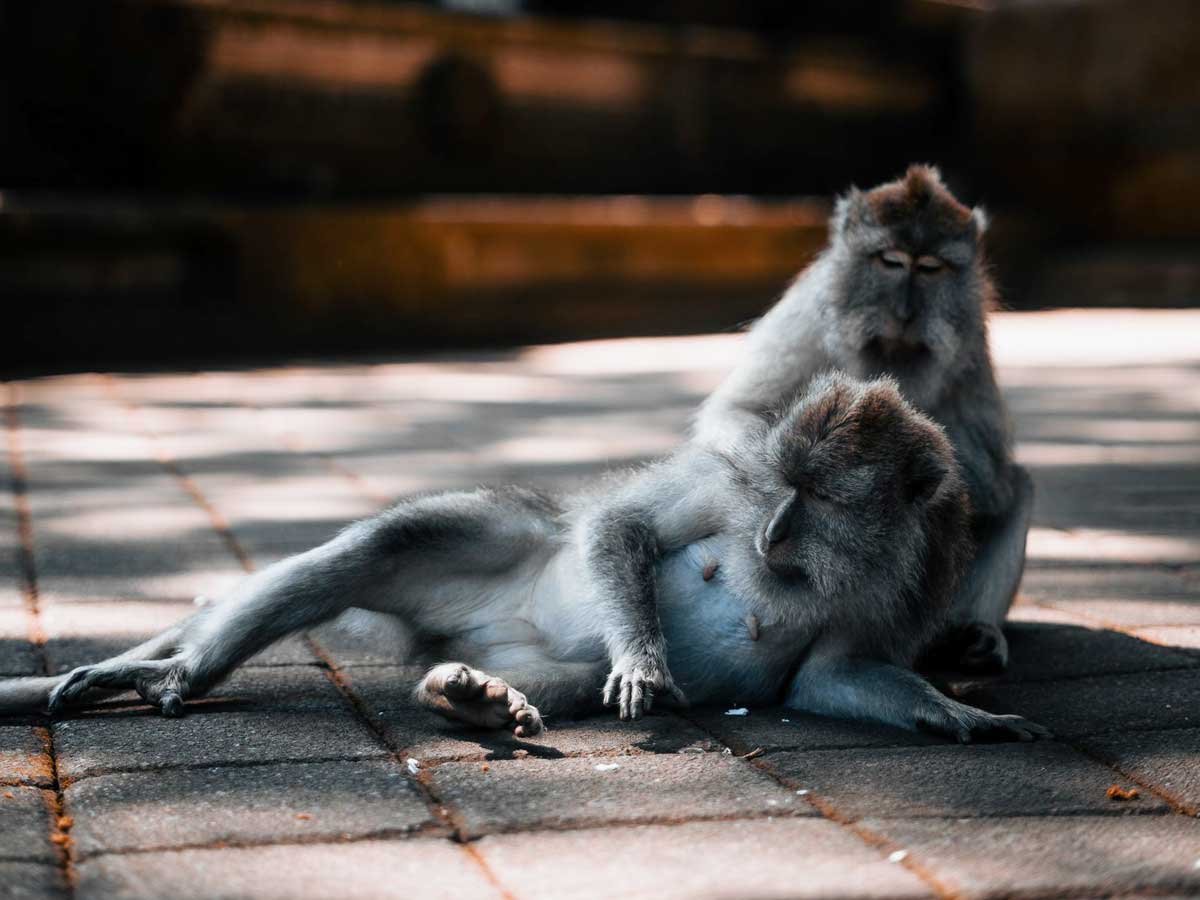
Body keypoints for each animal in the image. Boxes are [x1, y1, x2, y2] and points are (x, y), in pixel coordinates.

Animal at [0, 374, 1048, 743]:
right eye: (781, 489)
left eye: (820, 500)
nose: (772, 535)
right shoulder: (727, 480)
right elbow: (625, 529)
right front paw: (644, 656)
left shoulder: (897, 591)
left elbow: (827, 676)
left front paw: (959, 714)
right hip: (493, 544)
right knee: (387, 545)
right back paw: (180, 669)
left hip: (512, 644)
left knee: (556, 676)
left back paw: (469, 696)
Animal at [694, 165, 1032, 674]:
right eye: (890, 261)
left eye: (930, 268)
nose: (905, 313)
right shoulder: (809, 314)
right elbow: (737, 410)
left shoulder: (971, 342)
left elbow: (991, 484)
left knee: (1018, 487)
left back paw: (973, 635)